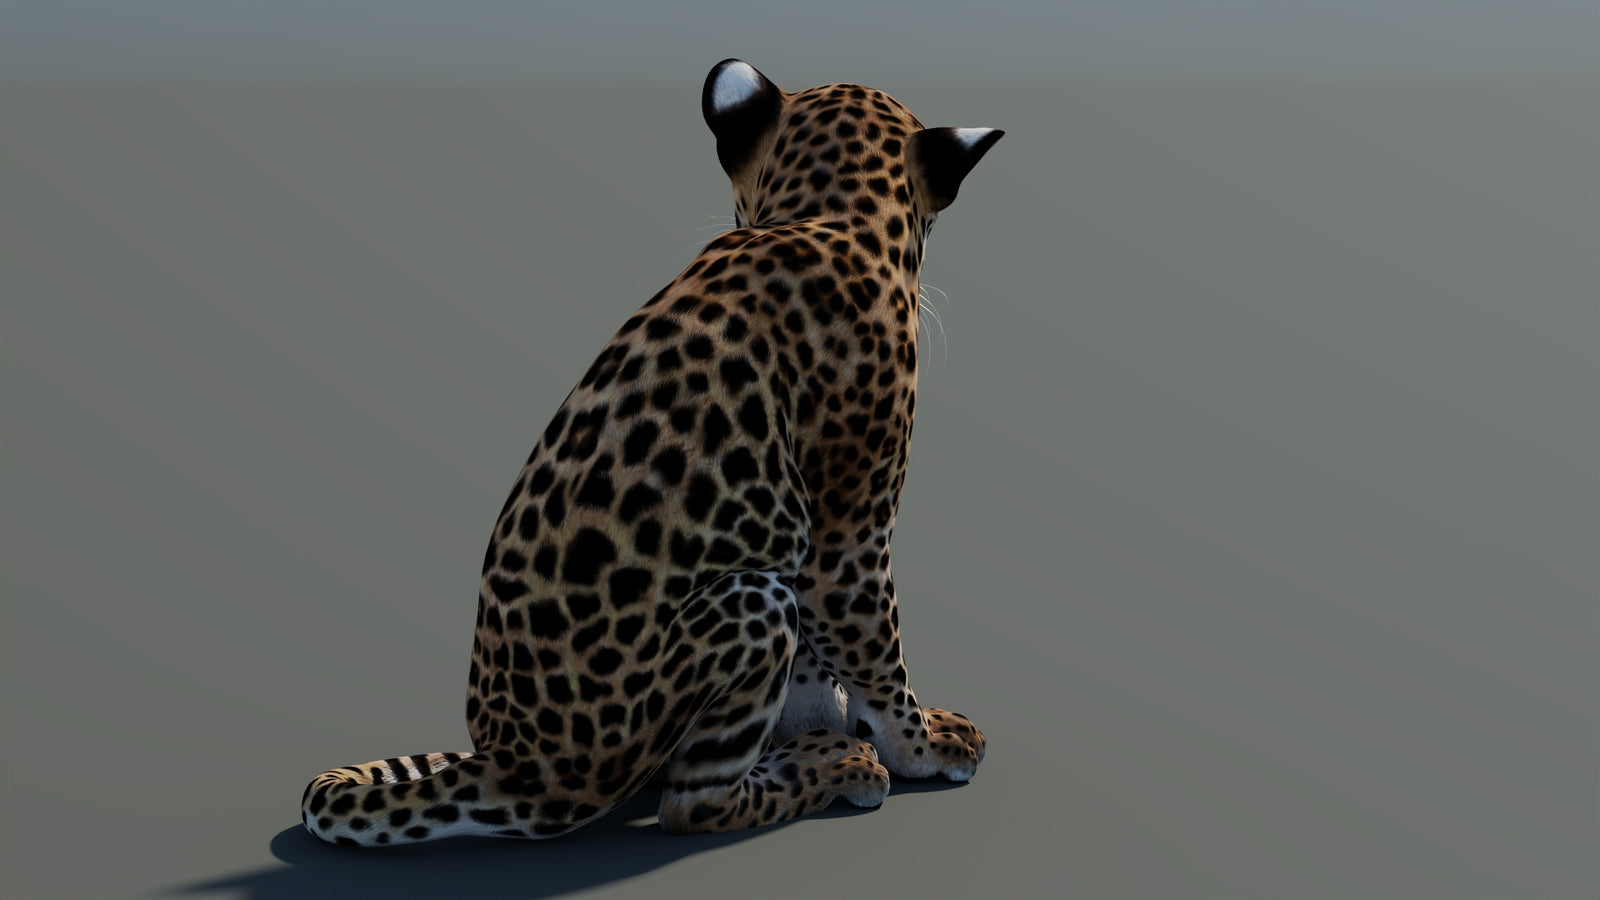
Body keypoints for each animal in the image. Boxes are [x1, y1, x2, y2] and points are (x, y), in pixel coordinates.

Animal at [301, 59, 1003, 845]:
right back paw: (829, 767)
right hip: (749, 603)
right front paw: (919, 747)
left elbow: (817, 670)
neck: (828, 214)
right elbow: (878, 655)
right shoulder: (846, 539)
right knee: (693, 802)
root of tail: (511, 761)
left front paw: (823, 724)